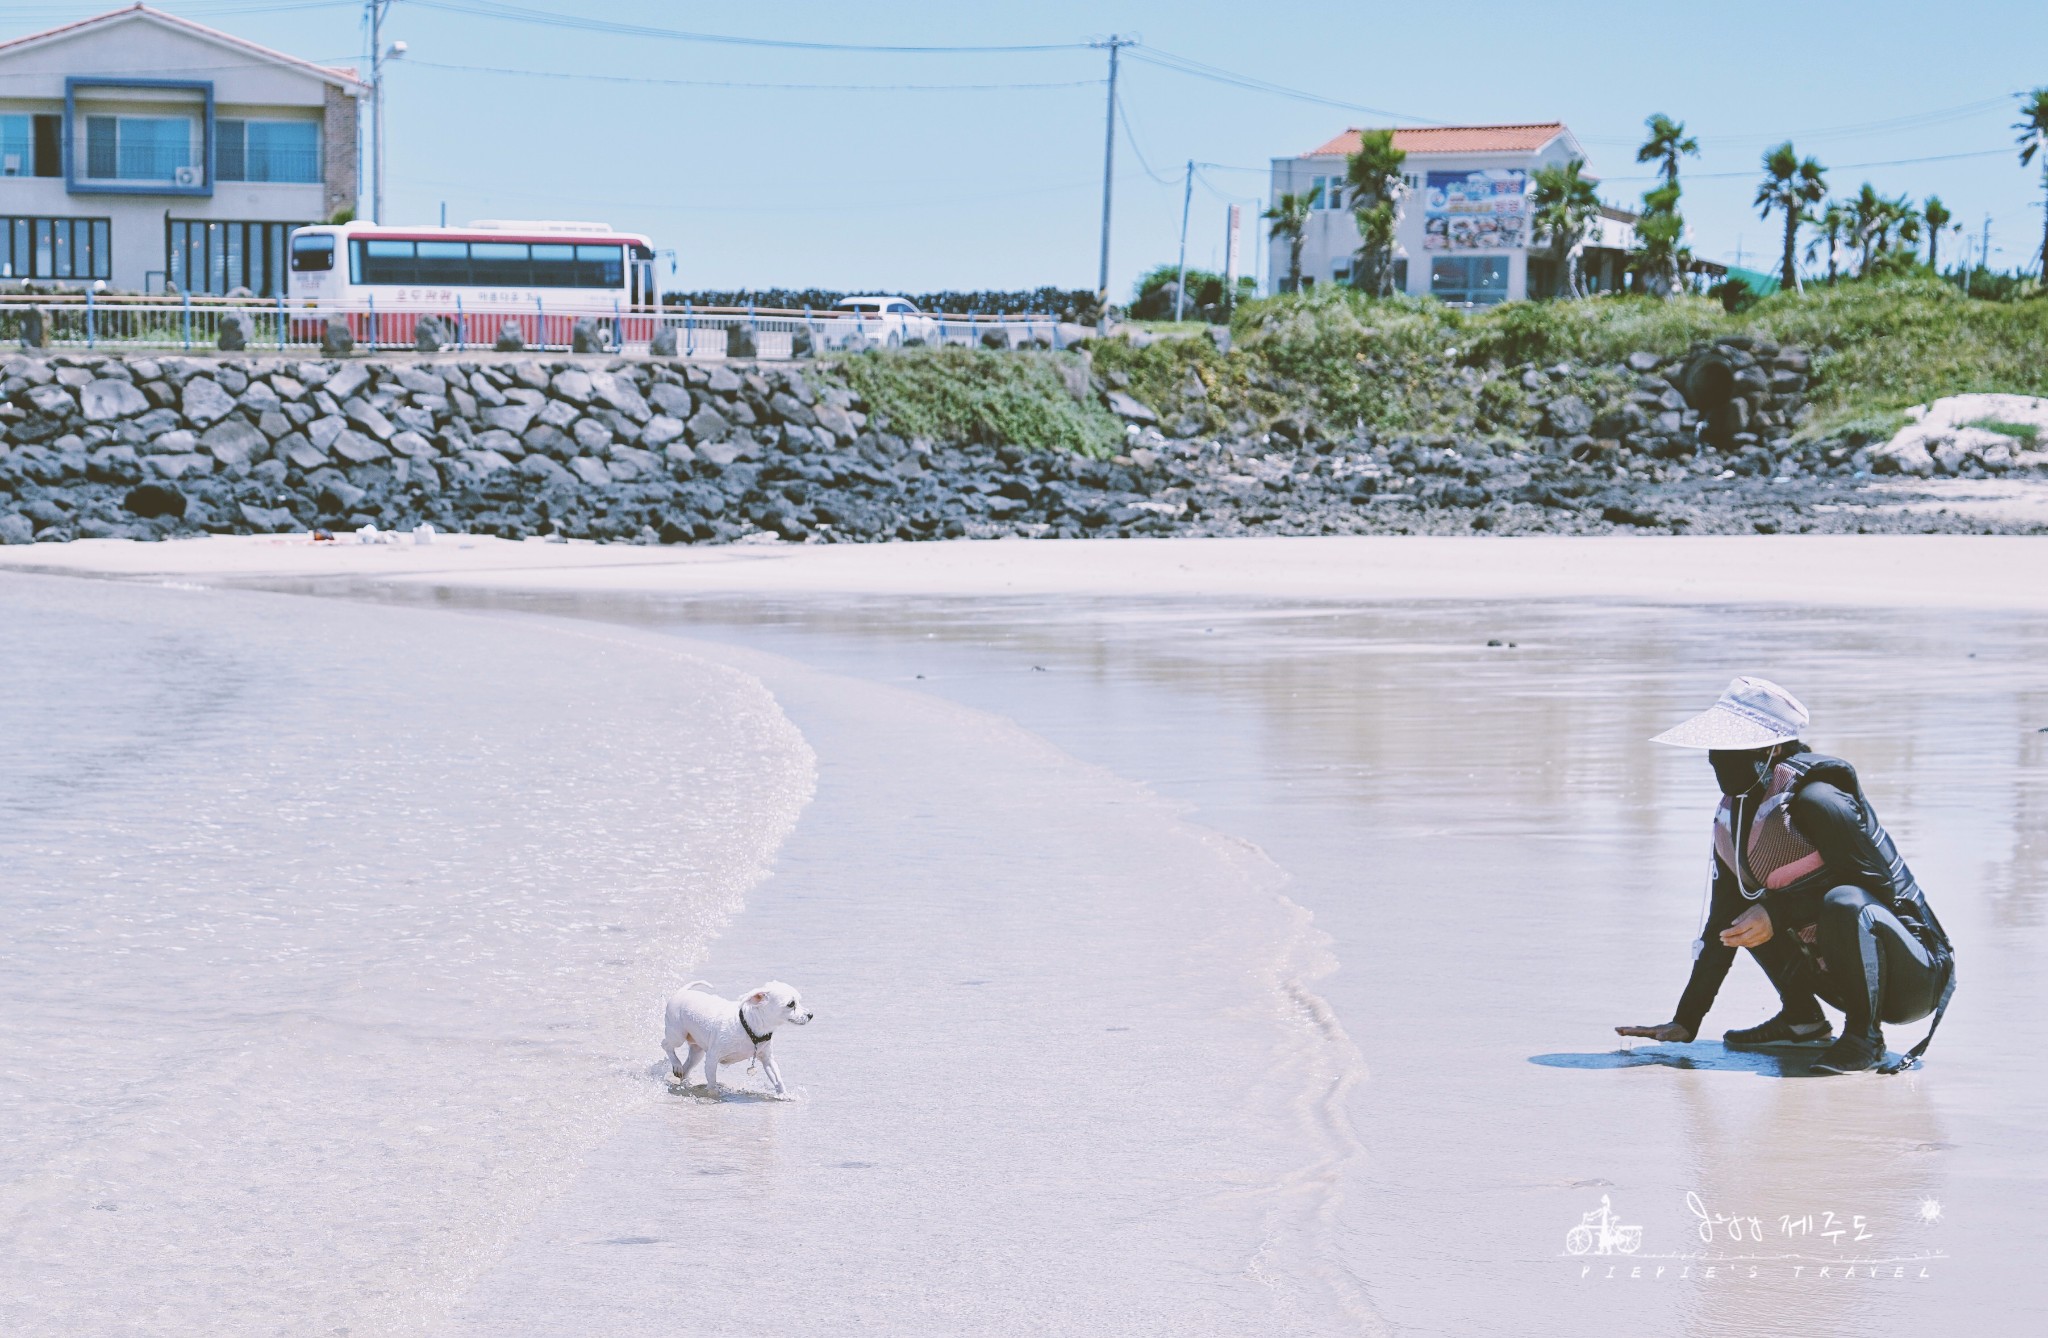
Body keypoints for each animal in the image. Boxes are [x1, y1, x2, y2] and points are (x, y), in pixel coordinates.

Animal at [659, 975, 811, 1090]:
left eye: (799, 1001)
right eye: (791, 1004)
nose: (811, 1015)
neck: (749, 1027)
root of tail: (681, 992)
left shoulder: (767, 1059)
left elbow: (778, 1079)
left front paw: (785, 1095)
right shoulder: (712, 1059)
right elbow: (712, 1083)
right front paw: (712, 1095)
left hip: (697, 1052)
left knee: (687, 1067)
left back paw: (682, 1076)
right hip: (678, 1035)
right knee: (665, 1044)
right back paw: (676, 1064)